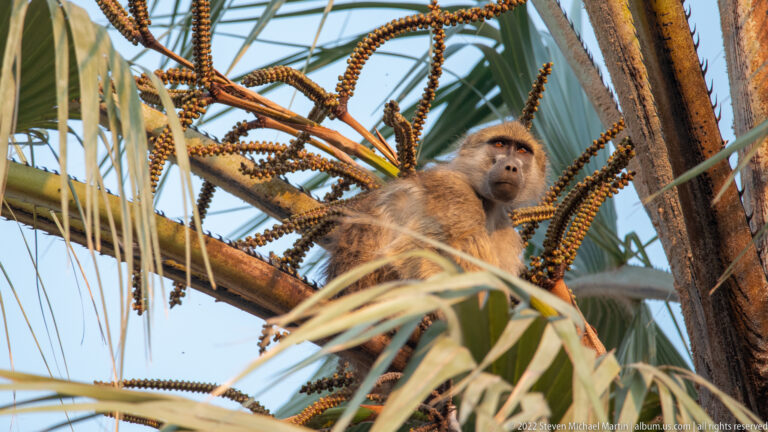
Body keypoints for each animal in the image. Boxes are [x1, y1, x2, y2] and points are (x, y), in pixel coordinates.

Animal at [325, 120, 548, 293]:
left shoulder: (505, 230)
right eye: (500, 144)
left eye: (522, 151)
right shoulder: (455, 193)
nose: (511, 166)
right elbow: (406, 255)